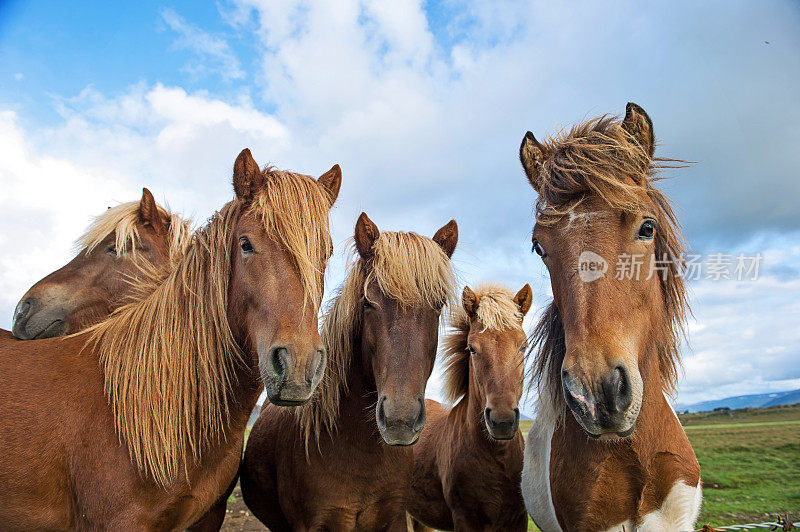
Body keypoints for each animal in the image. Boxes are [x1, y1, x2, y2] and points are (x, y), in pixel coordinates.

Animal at [410, 282, 536, 532]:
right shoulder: (465, 518)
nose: (502, 421)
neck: (497, 458)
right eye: (472, 348)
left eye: (523, 346)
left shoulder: (518, 519)